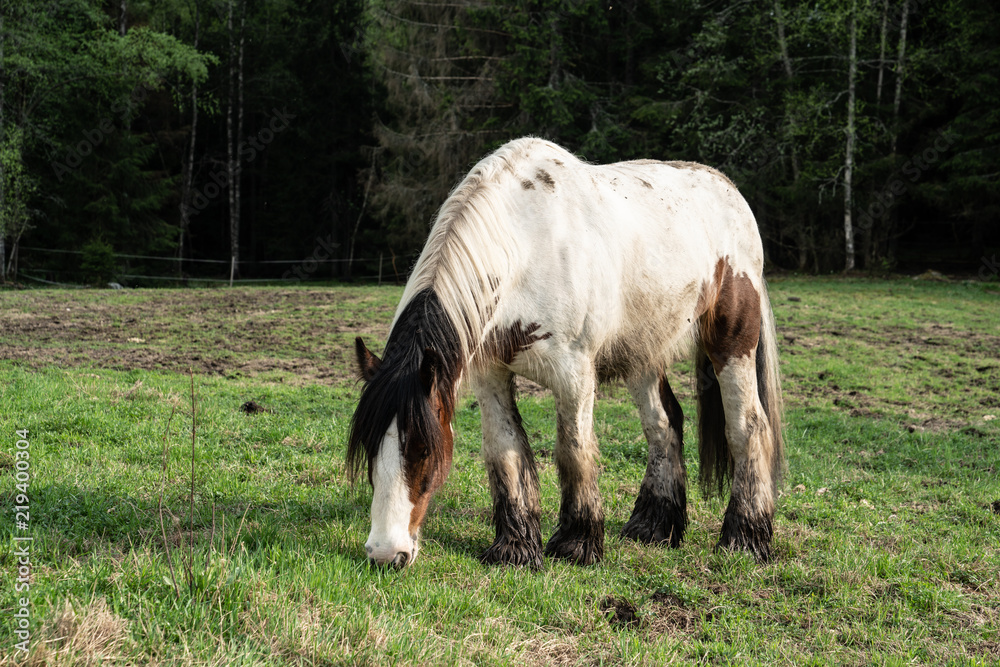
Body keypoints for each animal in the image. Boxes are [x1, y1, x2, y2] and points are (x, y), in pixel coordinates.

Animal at [348, 137, 784, 569]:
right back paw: (653, 527)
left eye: (424, 448)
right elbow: (504, 449)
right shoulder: (491, 374)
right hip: (641, 353)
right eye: (369, 446)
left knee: (747, 426)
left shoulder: (573, 372)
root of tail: (729, 190)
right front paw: (515, 548)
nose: (386, 553)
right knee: (663, 424)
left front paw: (578, 543)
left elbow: (574, 448)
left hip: (731, 344)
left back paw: (745, 538)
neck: (525, 243)